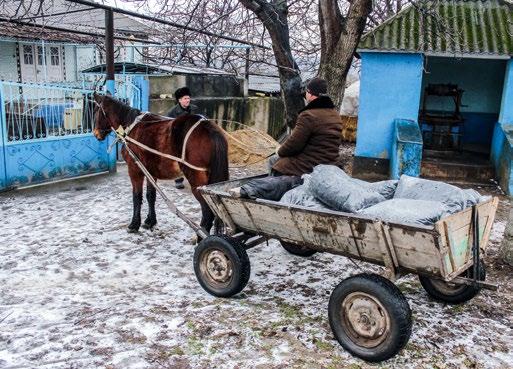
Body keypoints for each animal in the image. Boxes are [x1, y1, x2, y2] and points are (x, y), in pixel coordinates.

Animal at [92, 94, 228, 233]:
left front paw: (134, 224)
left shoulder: (134, 169)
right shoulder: (150, 171)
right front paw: (150, 221)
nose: (96, 133)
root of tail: (208, 127)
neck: (131, 126)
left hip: (197, 181)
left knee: (207, 213)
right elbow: (150, 195)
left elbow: (137, 196)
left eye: (96, 111)